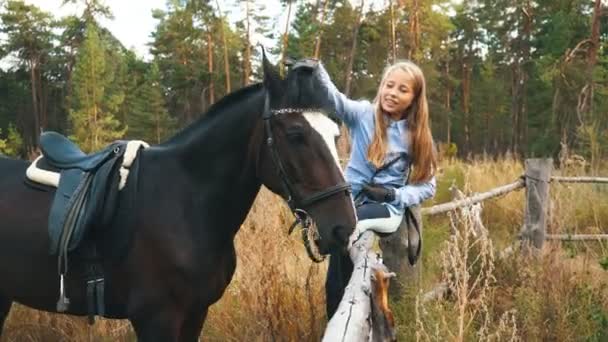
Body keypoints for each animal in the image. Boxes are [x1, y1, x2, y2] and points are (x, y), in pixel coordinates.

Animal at [0, 55, 356, 340]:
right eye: (296, 135)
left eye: (335, 134)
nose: (344, 226)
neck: (186, 204)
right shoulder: (156, 319)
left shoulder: (195, 313)